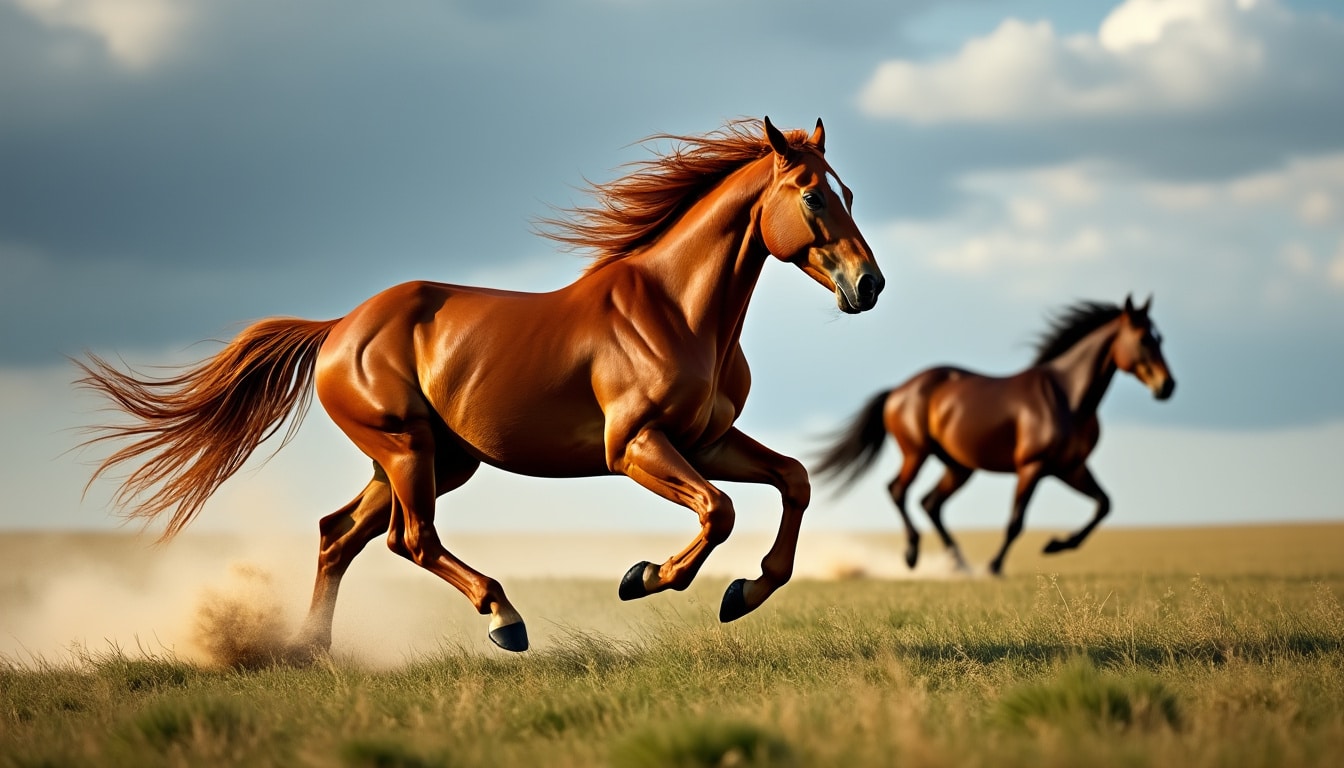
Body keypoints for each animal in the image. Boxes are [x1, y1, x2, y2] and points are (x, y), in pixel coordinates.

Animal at [74, 117, 885, 655]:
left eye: (849, 191)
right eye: (812, 196)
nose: (869, 285)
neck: (678, 310)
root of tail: (338, 328)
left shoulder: (707, 440)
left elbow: (794, 480)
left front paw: (745, 593)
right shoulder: (635, 447)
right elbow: (718, 513)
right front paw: (645, 576)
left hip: (433, 459)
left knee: (340, 534)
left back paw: (311, 648)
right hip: (408, 451)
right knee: (411, 539)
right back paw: (504, 619)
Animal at [813, 296, 1173, 576]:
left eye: (1162, 338)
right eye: (1145, 339)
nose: (1167, 386)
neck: (1068, 398)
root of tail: (898, 390)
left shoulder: (1071, 467)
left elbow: (1103, 505)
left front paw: (1057, 544)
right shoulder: (1032, 467)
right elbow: (1016, 521)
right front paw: (995, 566)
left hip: (958, 466)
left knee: (930, 503)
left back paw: (959, 564)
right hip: (916, 453)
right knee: (898, 491)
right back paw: (913, 555)